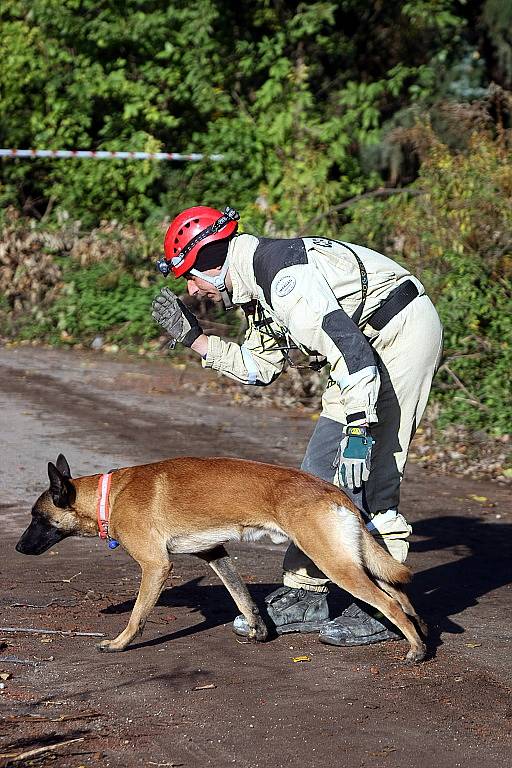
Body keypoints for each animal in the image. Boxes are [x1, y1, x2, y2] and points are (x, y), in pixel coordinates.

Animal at [14, 452, 426, 664]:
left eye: (37, 519)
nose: (18, 549)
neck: (109, 495)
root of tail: (332, 491)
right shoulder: (213, 552)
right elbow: (242, 597)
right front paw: (259, 629)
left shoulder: (156, 566)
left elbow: (137, 615)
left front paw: (120, 643)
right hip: (354, 561)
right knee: (401, 593)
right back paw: (421, 630)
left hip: (335, 564)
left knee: (389, 602)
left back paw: (417, 649)